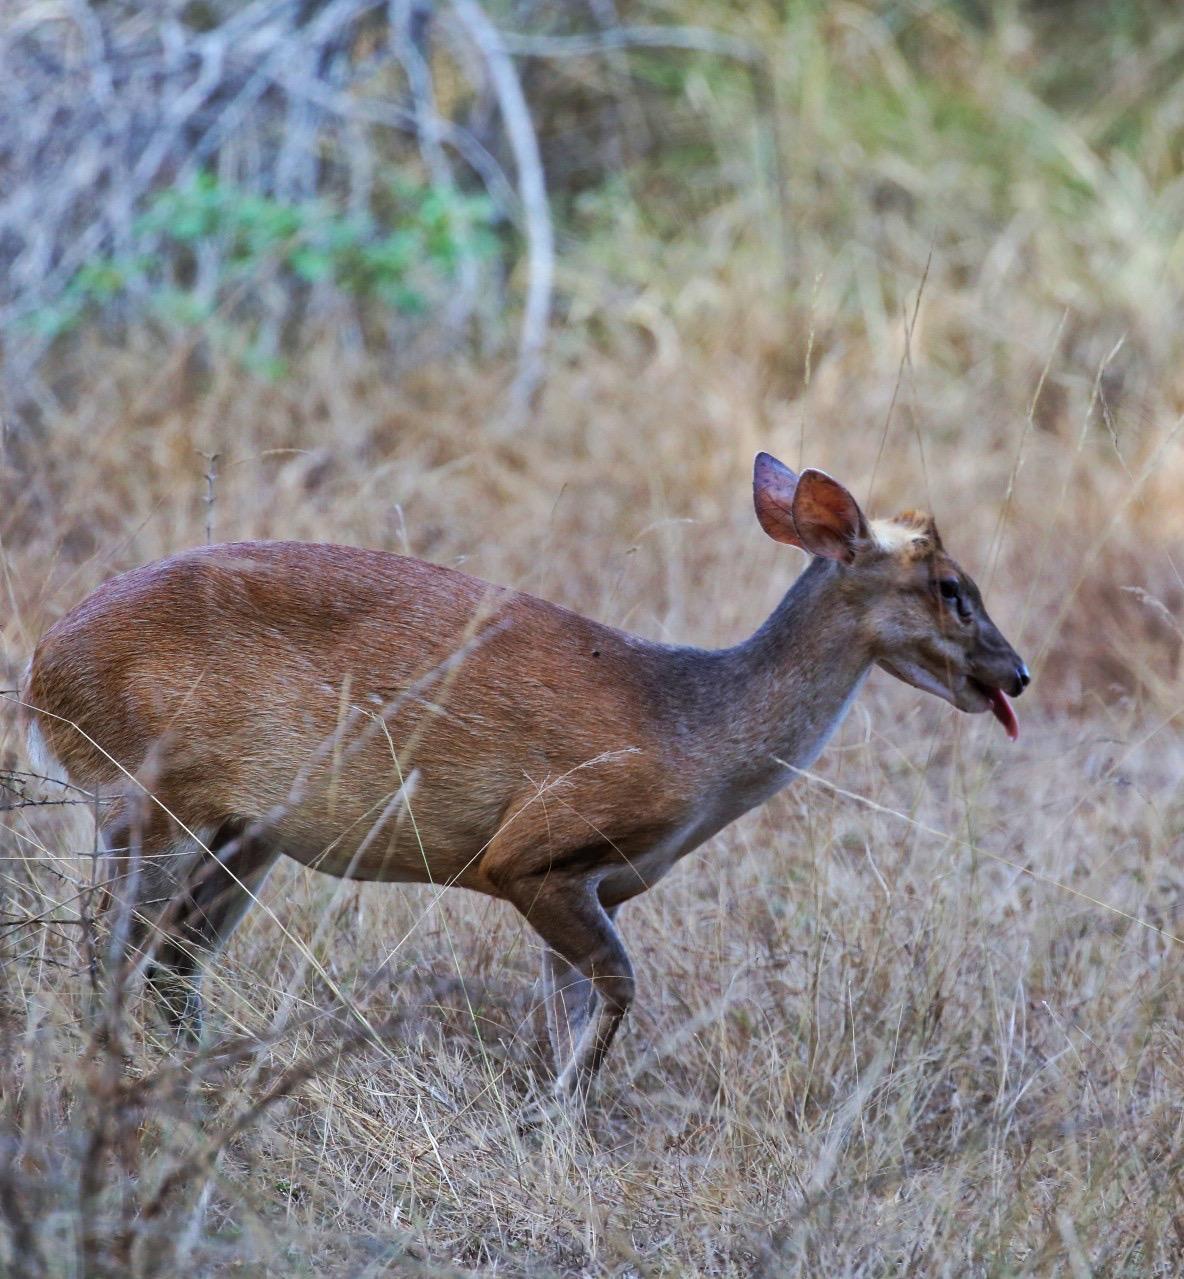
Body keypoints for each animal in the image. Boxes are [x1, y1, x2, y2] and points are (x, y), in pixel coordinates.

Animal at [21, 454, 1029, 1106]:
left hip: (243, 832)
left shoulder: (594, 882)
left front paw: (557, 1110)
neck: (695, 732)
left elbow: (576, 1001)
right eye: (950, 587)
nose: (1015, 674)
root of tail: (40, 676)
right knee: (109, 944)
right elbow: (617, 988)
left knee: (172, 960)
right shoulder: (534, 849)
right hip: (149, 797)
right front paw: (555, 1115)